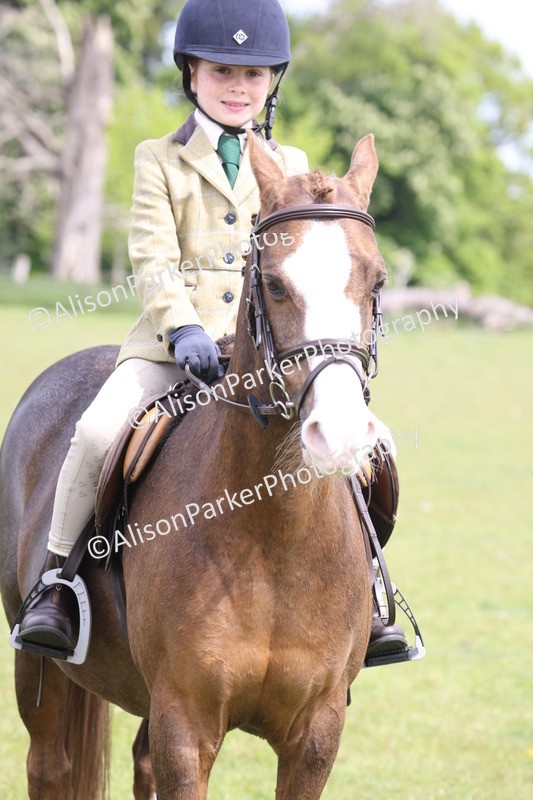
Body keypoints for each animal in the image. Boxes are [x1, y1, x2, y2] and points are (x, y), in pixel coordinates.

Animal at [1, 131, 391, 799]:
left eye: (376, 281)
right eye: (275, 284)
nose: (340, 434)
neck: (274, 537)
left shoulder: (316, 735)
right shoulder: (185, 723)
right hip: (37, 668)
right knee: (49, 764)